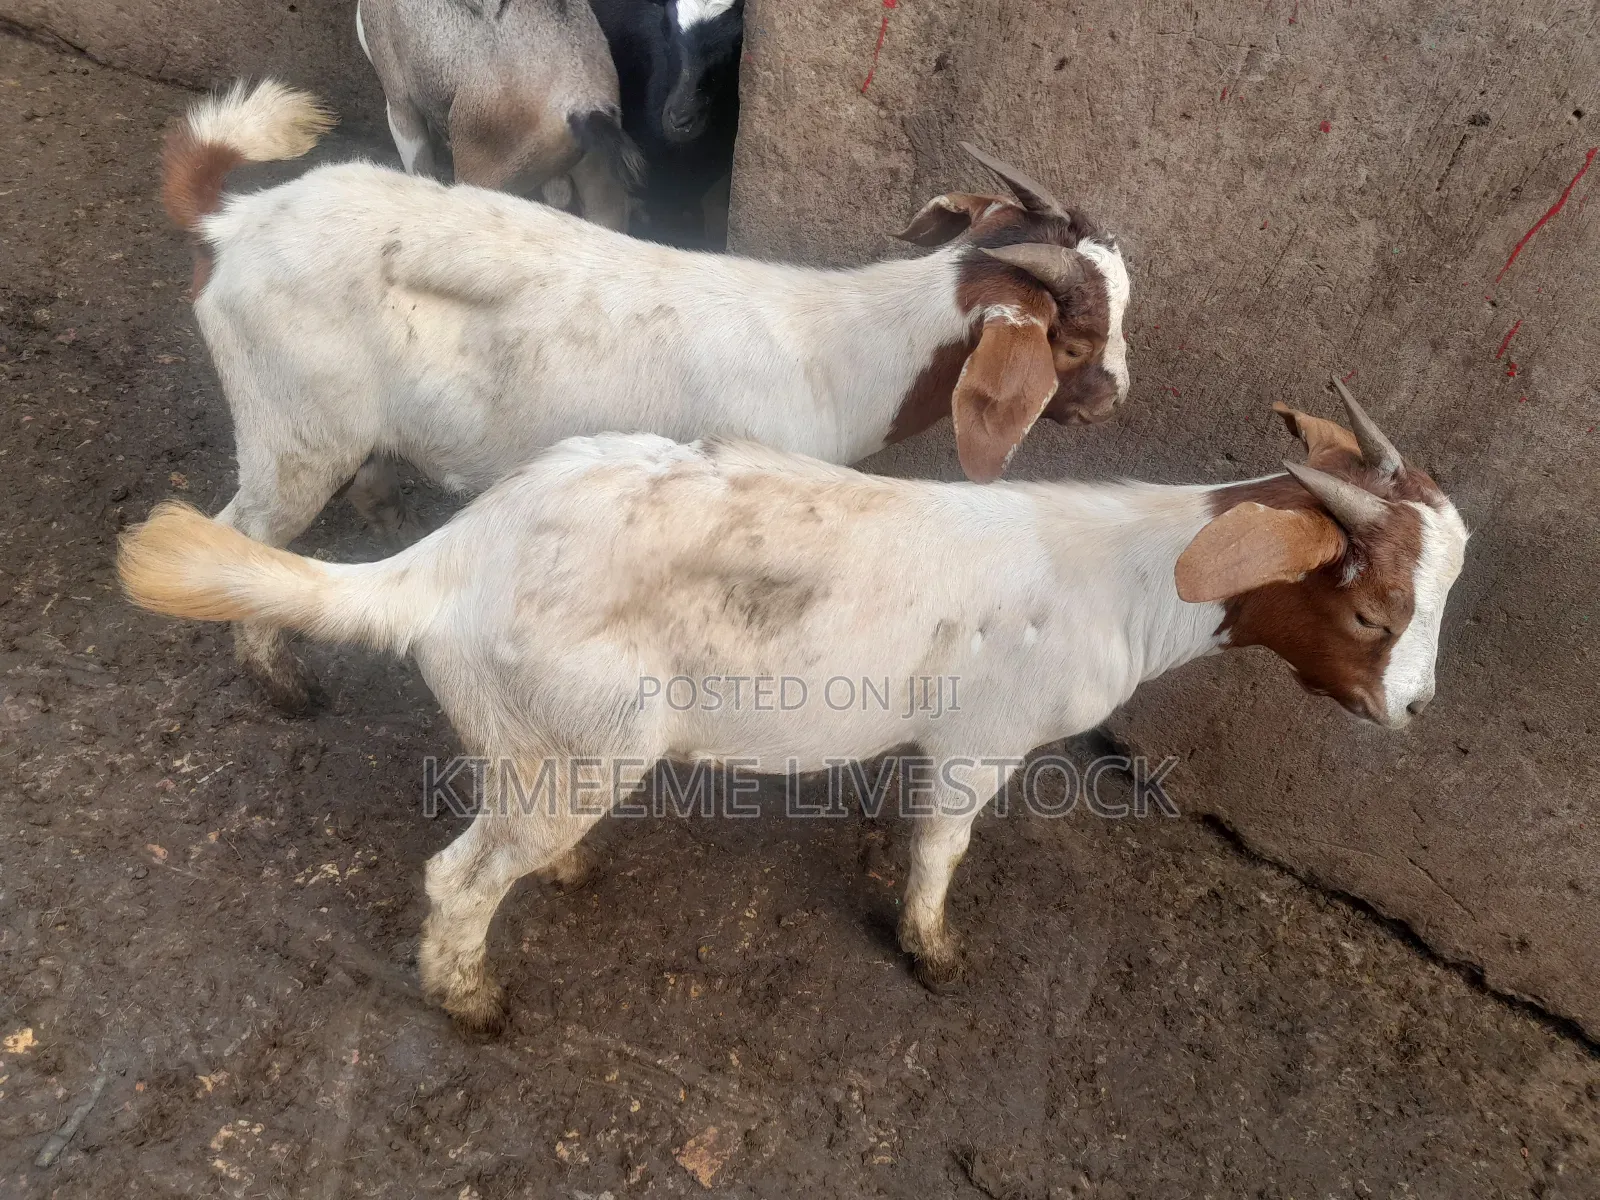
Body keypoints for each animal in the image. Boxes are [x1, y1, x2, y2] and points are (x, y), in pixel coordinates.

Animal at [117, 380, 1468, 1032]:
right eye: (1369, 615)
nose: (1414, 713)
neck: (1123, 573)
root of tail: (445, 565)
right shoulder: (985, 737)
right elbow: (943, 846)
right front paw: (930, 952)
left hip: (540, 742)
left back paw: (557, 875)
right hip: (580, 737)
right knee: (459, 878)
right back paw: (473, 1000)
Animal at [159, 80, 1133, 713]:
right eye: (1073, 343)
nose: (1115, 400)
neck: (841, 350)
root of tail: (230, 223)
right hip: (292, 425)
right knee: (247, 528)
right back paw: (283, 687)